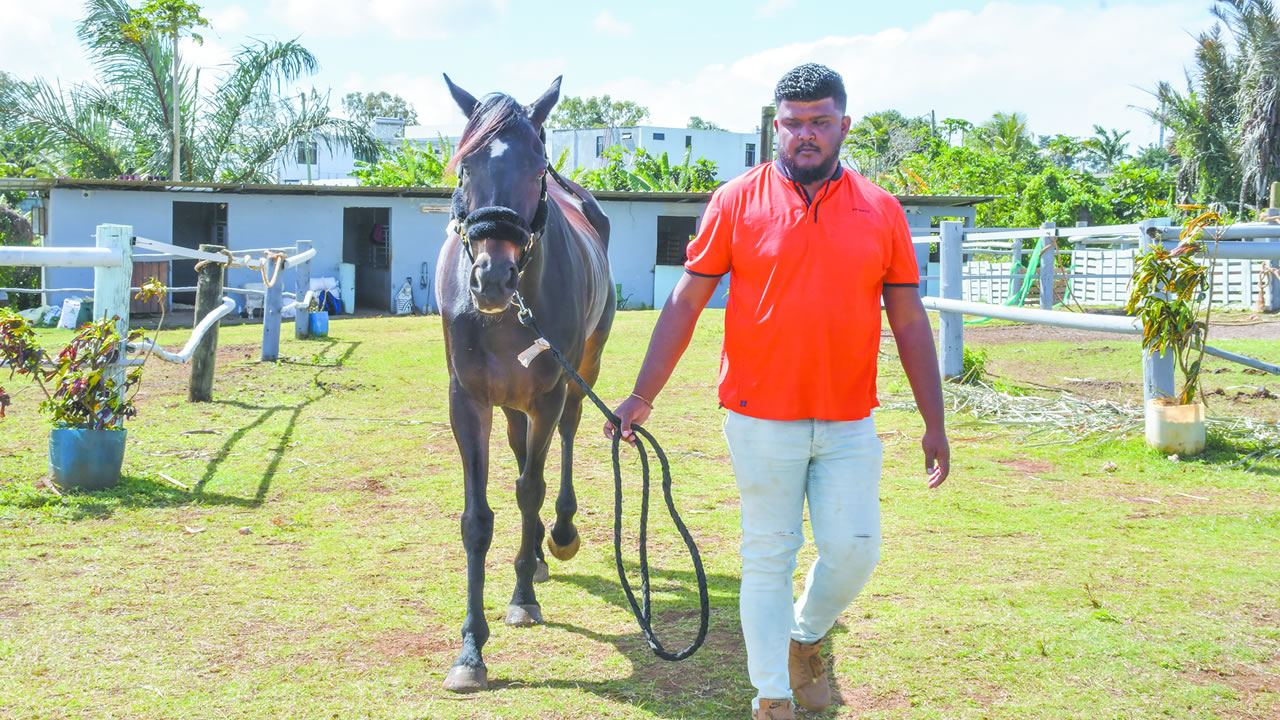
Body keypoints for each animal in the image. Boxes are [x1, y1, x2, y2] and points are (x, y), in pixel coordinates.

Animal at [434, 74, 615, 693]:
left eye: (538, 167)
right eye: (465, 166)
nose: (492, 277)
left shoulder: (548, 393)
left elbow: (531, 489)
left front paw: (521, 597)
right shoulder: (468, 401)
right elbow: (477, 519)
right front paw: (470, 648)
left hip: (580, 373)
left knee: (563, 441)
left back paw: (555, 534)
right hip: (511, 404)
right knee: (519, 455)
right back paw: (535, 550)